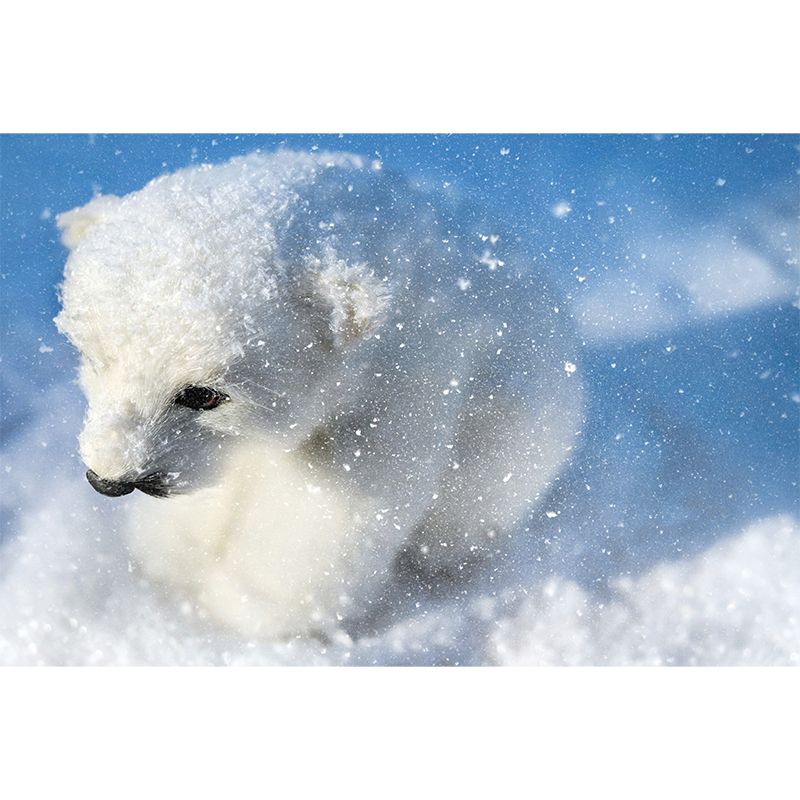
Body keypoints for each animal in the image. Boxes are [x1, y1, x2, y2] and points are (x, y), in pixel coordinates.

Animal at [55, 150, 584, 639]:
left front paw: (246, 602)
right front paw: (173, 562)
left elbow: (329, 510)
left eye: (204, 394)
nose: (109, 480)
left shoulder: (399, 387)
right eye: (95, 358)